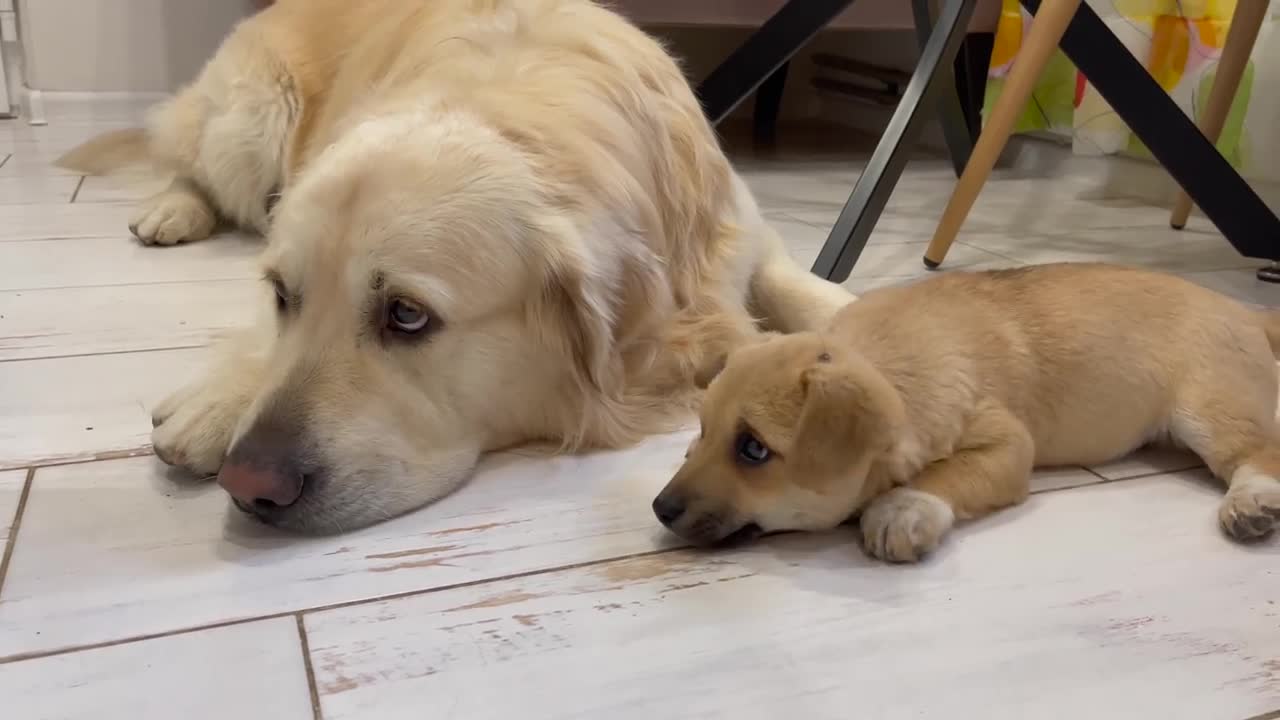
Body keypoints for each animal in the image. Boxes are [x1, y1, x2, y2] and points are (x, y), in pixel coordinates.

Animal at [655, 263, 1280, 561]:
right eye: (702, 433)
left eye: (753, 449)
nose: (660, 509)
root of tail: (1244, 309)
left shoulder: (1007, 446)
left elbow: (944, 475)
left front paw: (902, 509)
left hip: (1209, 409)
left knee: (1260, 450)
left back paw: (1250, 501)